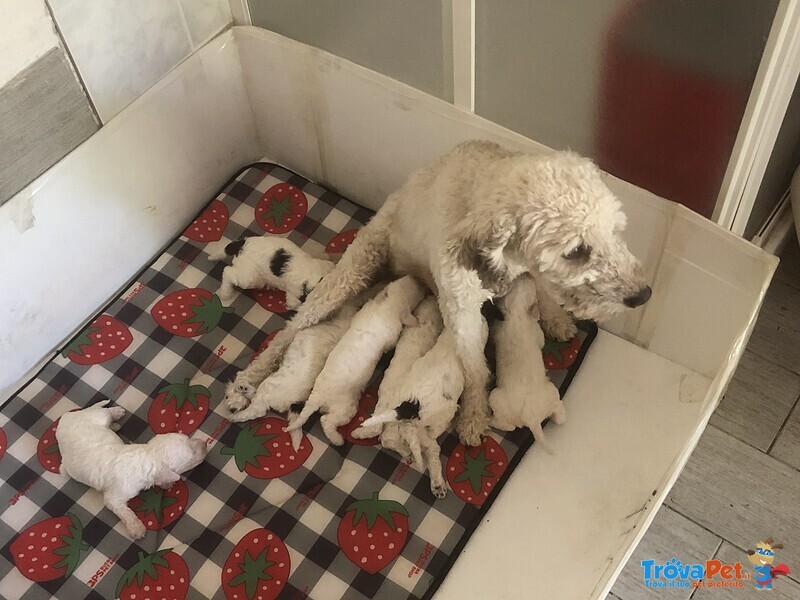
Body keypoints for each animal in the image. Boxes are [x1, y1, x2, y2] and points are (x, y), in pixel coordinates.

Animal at [57, 404, 208, 540]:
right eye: (192, 454)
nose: (205, 444)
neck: (148, 456)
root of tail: (65, 417)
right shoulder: (114, 498)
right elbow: (125, 512)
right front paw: (137, 529)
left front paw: (165, 484)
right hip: (94, 419)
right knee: (104, 410)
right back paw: (116, 415)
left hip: (97, 417)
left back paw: (115, 420)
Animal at [284, 276, 428, 446]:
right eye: (418, 291)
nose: (420, 280)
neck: (387, 305)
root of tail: (316, 397)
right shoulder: (393, 333)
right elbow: (392, 341)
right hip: (346, 407)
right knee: (326, 421)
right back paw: (338, 440)